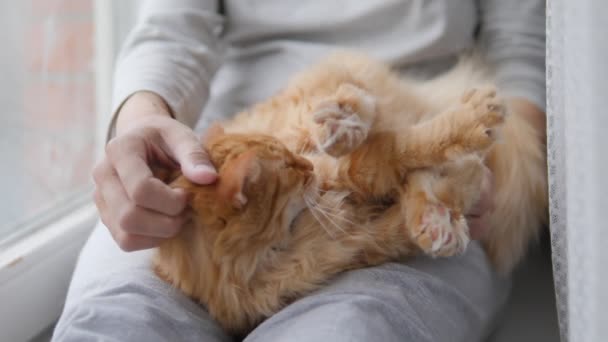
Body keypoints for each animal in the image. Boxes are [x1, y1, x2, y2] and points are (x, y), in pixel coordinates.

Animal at [154, 51, 548, 334]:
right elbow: (408, 200)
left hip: (342, 90)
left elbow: (416, 145)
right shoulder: (364, 241)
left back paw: (340, 121)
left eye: (290, 156)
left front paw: (473, 123)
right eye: (289, 168)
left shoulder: (359, 168)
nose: (308, 165)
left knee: (365, 105)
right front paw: (447, 203)